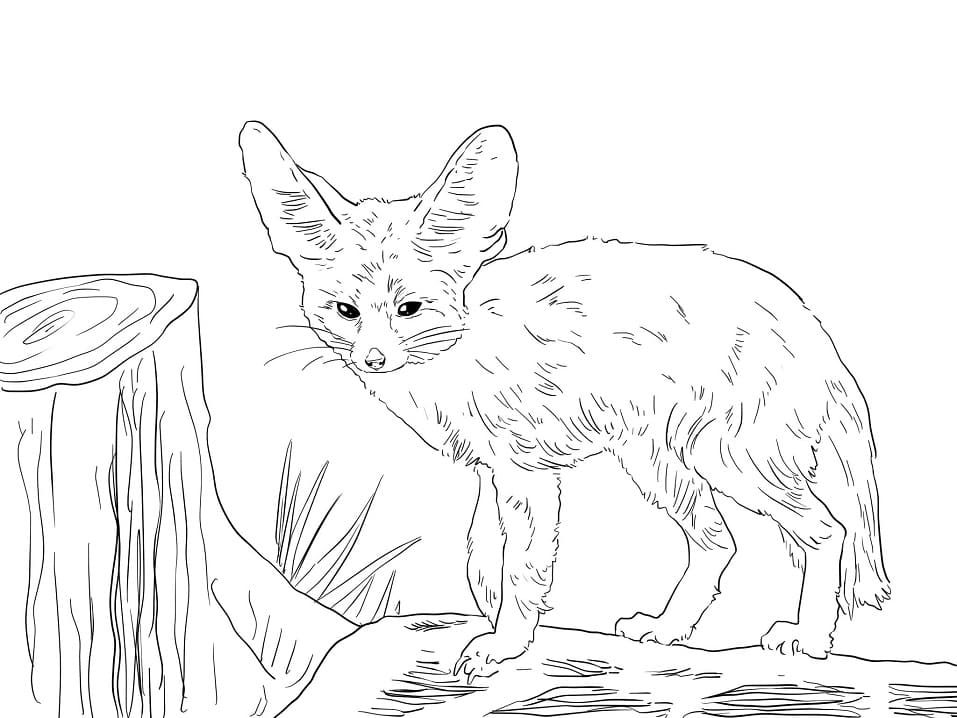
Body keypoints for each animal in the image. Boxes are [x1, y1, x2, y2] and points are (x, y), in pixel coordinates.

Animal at [238, 121, 890, 678]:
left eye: (410, 309)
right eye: (345, 311)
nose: (372, 359)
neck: (460, 351)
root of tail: (808, 324)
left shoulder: (526, 471)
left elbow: (523, 565)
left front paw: (505, 644)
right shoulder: (493, 469)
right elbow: (483, 554)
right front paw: (495, 618)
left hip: (733, 463)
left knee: (826, 532)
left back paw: (809, 639)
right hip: (660, 466)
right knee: (718, 540)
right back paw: (669, 628)